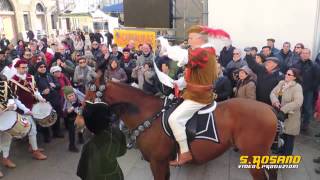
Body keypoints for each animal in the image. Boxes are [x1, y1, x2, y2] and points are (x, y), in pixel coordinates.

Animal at [77, 81, 278, 179]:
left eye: (89, 94)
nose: (78, 121)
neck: (147, 114)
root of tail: (269, 109)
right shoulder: (162, 163)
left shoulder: (157, 162)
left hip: (253, 158)